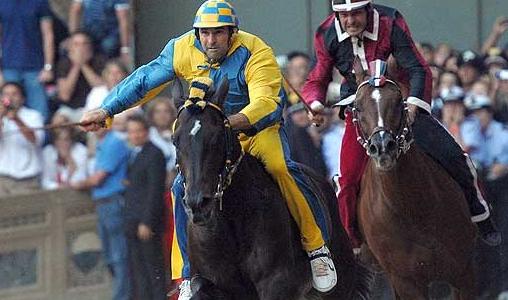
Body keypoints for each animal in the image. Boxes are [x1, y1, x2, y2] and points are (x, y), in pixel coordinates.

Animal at [173, 78, 372, 298]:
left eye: (216, 137)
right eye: (175, 141)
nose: (198, 203)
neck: (233, 220)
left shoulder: (278, 283)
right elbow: (200, 284)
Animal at [352, 65, 478, 298]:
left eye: (398, 101)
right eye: (358, 107)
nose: (382, 147)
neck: (414, 208)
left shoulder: (463, 271)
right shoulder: (406, 281)